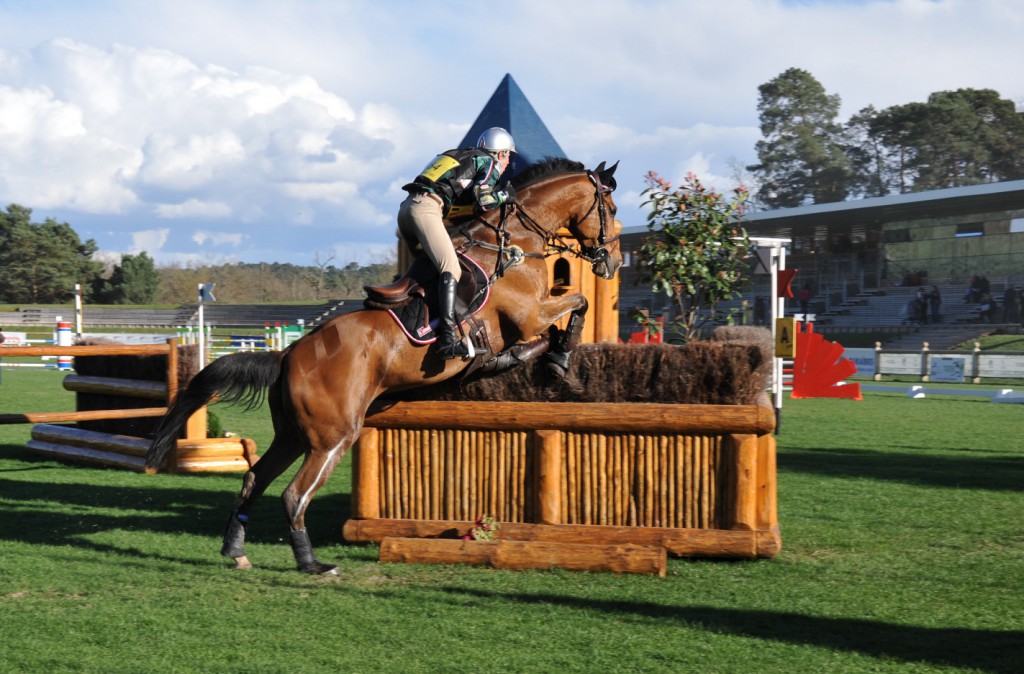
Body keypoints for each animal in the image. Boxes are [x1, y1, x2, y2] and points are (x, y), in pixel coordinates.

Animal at [147, 157, 618, 573]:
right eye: (611, 209)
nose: (611, 262)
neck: (515, 241)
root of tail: (287, 356)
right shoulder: (529, 314)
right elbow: (576, 303)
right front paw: (558, 357)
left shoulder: (530, 318)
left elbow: (560, 320)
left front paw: (539, 357)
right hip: (333, 437)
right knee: (294, 494)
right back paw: (311, 563)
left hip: (292, 435)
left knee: (254, 480)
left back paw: (236, 551)